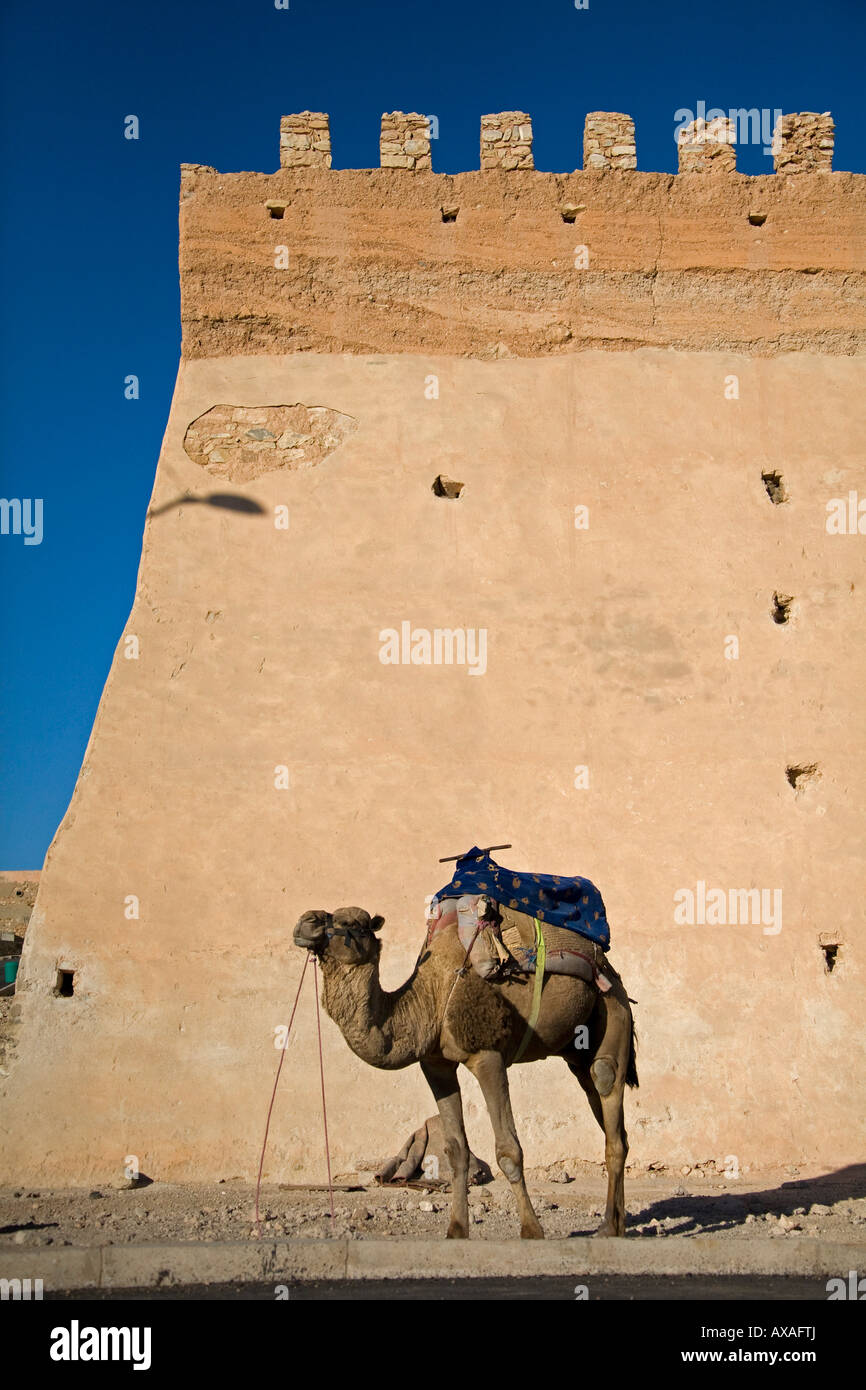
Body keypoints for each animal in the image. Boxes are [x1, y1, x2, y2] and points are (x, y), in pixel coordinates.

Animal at [294, 906, 639, 1245]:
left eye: (352, 923)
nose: (306, 921)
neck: (431, 1000)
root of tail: (608, 967)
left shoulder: (487, 1055)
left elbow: (508, 1150)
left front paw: (532, 1230)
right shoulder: (435, 1064)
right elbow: (456, 1150)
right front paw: (457, 1229)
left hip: (612, 1006)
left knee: (605, 1081)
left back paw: (609, 1227)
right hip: (577, 1047)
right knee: (599, 1101)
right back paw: (615, 1225)